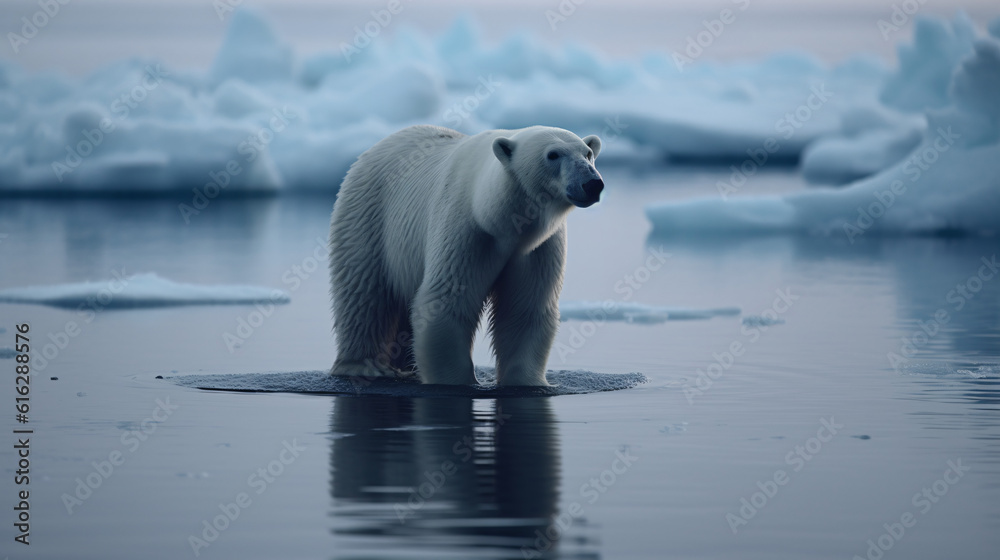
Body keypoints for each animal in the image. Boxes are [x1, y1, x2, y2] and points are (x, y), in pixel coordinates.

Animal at [329, 125, 603, 386]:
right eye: (553, 154)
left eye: (588, 153)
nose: (592, 183)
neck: (499, 219)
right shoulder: (466, 229)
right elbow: (446, 302)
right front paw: (456, 380)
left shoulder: (537, 249)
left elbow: (524, 309)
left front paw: (529, 381)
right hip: (369, 217)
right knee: (364, 292)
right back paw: (364, 366)